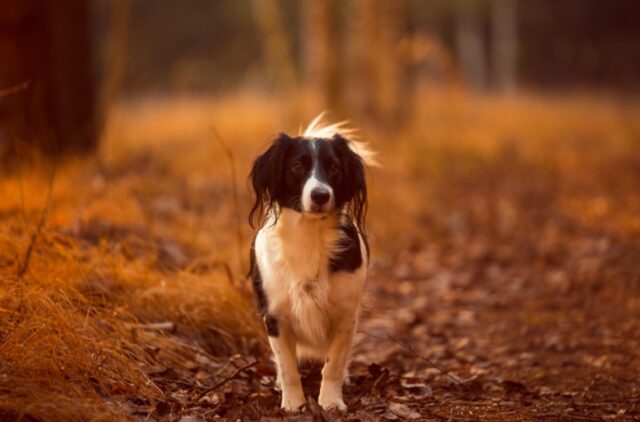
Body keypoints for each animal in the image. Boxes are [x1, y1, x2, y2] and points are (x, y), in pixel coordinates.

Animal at [246, 115, 376, 412]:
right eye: (297, 166)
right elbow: (288, 367)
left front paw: (330, 402)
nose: (320, 195)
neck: (310, 235)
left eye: (333, 167)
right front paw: (293, 404)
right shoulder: (275, 316)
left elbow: (334, 363)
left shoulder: (345, 315)